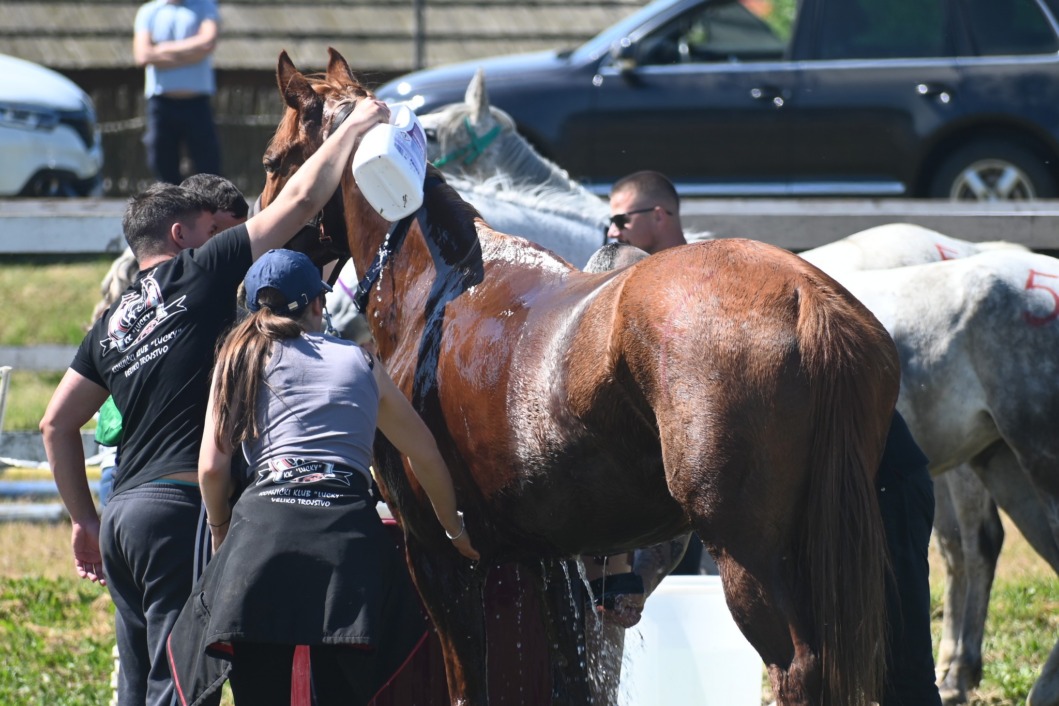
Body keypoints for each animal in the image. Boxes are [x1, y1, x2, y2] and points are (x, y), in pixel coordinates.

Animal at [262, 48, 903, 706]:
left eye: (273, 161)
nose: (265, 241)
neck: (437, 293)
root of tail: (805, 295)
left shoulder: (439, 553)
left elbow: (470, 683)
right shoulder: (551, 563)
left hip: (746, 555)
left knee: (796, 668)